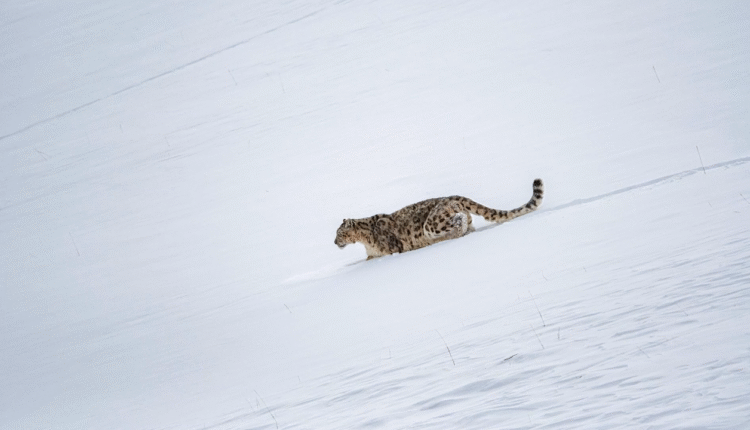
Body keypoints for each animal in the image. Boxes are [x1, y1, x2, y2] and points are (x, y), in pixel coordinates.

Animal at [335, 179, 543, 259]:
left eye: (339, 233)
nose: (335, 242)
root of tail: (451, 196)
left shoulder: (391, 249)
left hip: (432, 224)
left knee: (459, 221)